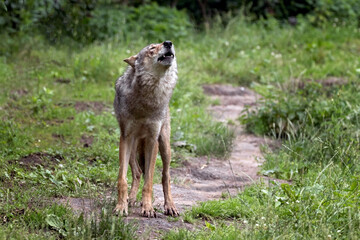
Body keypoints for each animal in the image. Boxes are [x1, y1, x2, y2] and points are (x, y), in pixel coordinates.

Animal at [113, 40, 179, 218]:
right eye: (152, 48)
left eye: (163, 43)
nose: (168, 42)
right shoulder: (125, 138)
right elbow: (122, 179)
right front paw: (121, 207)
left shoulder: (152, 139)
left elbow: (149, 181)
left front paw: (148, 208)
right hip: (131, 147)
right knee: (136, 173)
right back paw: (131, 199)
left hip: (165, 147)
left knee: (165, 176)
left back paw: (170, 206)